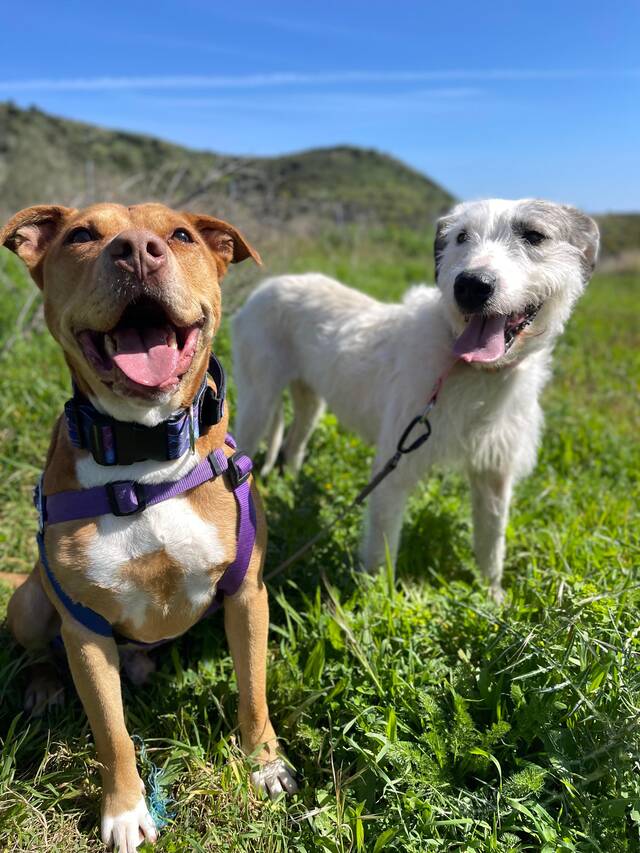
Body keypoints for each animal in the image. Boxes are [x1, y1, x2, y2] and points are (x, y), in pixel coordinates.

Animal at [0, 202, 296, 852]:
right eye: (82, 235)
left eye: (181, 235)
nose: (137, 250)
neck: (143, 455)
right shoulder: (84, 630)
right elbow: (112, 734)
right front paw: (125, 811)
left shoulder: (247, 595)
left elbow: (254, 692)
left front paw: (265, 765)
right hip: (31, 602)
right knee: (35, 648)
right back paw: (44, 687)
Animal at [232, 198, 599, 600]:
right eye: (461, 237)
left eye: (534, 235)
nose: (471, 286)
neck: (469, 369)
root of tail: (266, 286)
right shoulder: (394, 467)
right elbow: (382, 551)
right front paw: (376, 600)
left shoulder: (494, 476)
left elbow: (492, 544)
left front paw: (493, 596)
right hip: (257, 402)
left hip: (310, 400)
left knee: (296, 442)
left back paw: (291, 484)